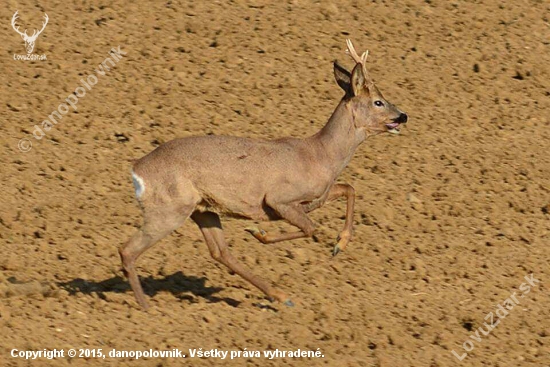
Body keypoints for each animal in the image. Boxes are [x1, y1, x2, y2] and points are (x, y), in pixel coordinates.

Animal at [123, 38, 412, 310]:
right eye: (378, 102)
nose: (403, 116)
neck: (321, 155)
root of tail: (137, 171)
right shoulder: (279, 198)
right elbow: (310, 228)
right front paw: (259, 232)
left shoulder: (316, 197)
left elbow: (349, 189)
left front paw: (339, 245)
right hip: (169, 209)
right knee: (127, 250)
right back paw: (145, 307)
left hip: (202, 209)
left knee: (220, 252)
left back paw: (281, 296)